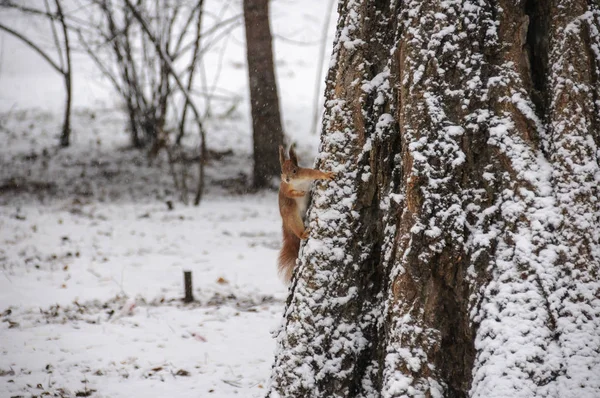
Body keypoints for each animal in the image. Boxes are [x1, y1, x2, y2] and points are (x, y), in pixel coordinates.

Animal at [278, 146, 336, 282]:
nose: (287, 179)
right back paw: (303, 234)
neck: (297, 182)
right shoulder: (284, 187)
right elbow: (290, 193)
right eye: (281, 171)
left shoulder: (305, 173)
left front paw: (326, 175)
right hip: (292, 215)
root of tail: (286, 223)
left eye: (294, 170)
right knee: (297, 230)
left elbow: (315, 173)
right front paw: (300, 193)